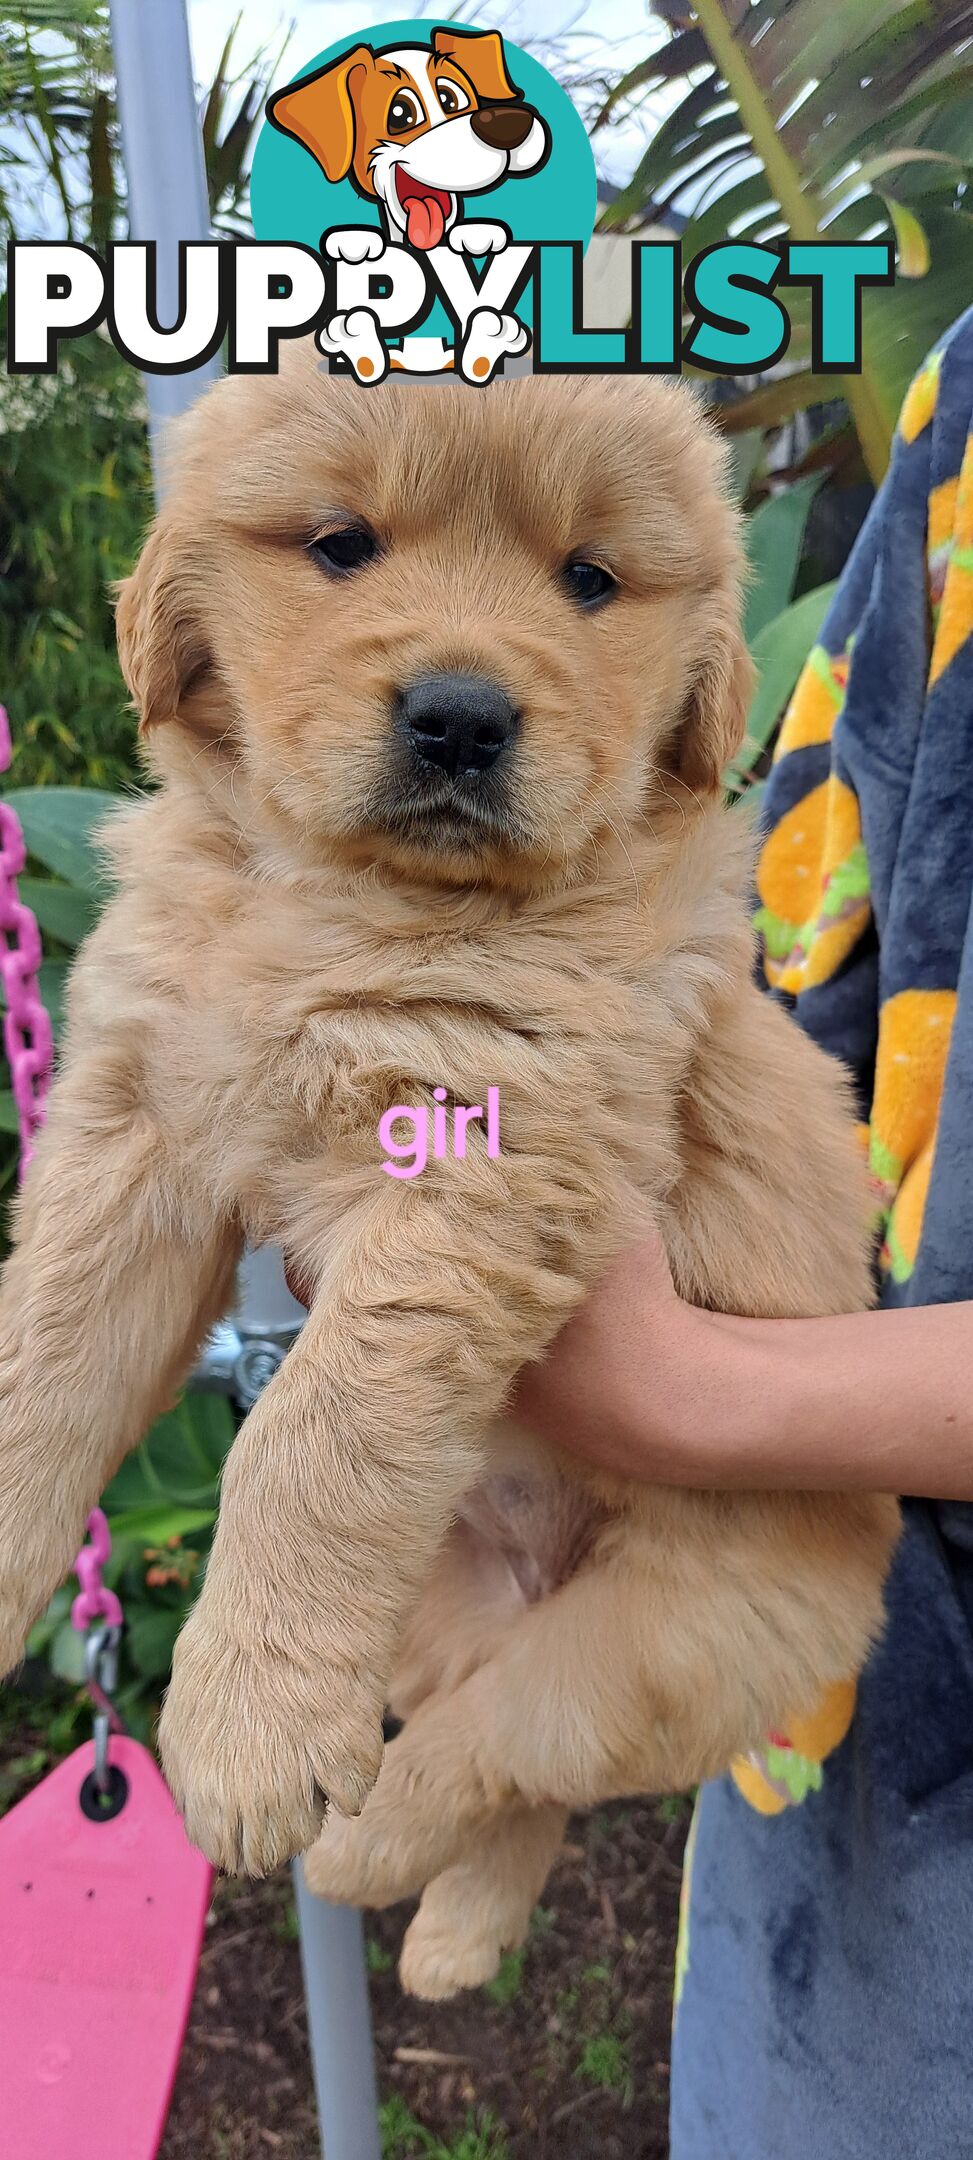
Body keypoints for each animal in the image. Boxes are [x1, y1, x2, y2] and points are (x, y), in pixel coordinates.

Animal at [0, 354, 895, 1987]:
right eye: (342, 545)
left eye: (590, 579)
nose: (461, 717)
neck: (348, 901)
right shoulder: (139, 1136)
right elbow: (45, 1369)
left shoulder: (483, 1161)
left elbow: (315, 1434)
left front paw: (242, 1736)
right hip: (438, 1609)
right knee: (516, 1779)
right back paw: (453, 1942)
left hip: (666, 1645)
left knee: (501, 1749)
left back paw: (361, 1860)